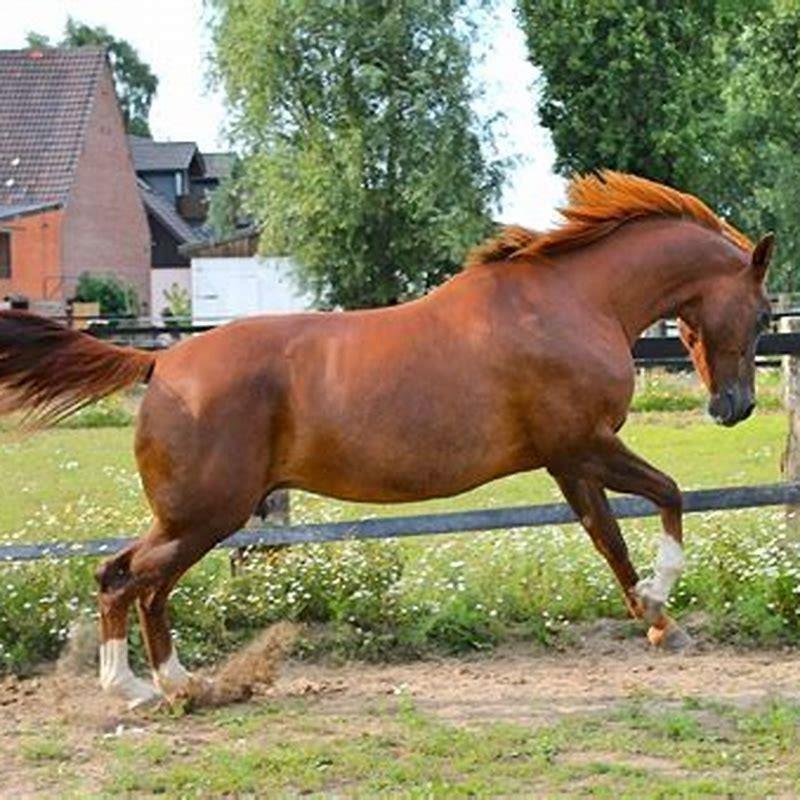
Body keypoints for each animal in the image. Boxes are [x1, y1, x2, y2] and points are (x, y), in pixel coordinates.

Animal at [0, 171, 773, 708]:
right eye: (765, 310)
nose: (735, 407)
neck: (573, 302)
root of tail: (161, 364)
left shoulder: (568, 462)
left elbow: (609, 541)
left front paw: (656, 619)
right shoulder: (585, 445)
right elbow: (669, 496)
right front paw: (664, 605)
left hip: (193, 515)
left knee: (134, 580)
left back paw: (170, 686)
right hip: (204, 514)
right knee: (129, 579)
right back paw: (150, 688)